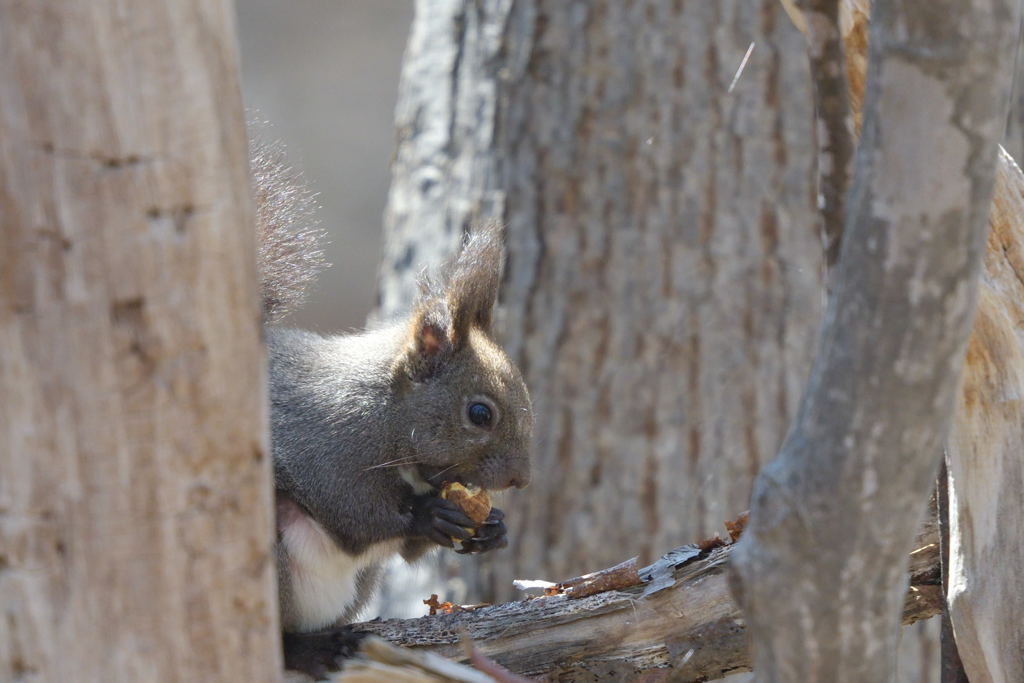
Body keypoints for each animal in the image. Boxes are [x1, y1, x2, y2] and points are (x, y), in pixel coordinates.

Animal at [250, 136, 532, 675]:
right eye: (479, 414)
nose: (520, 481)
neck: (388, 413)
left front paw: (493, 529)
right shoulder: (325, 443)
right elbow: (353, 514)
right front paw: (429, 516)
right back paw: (308, 649)